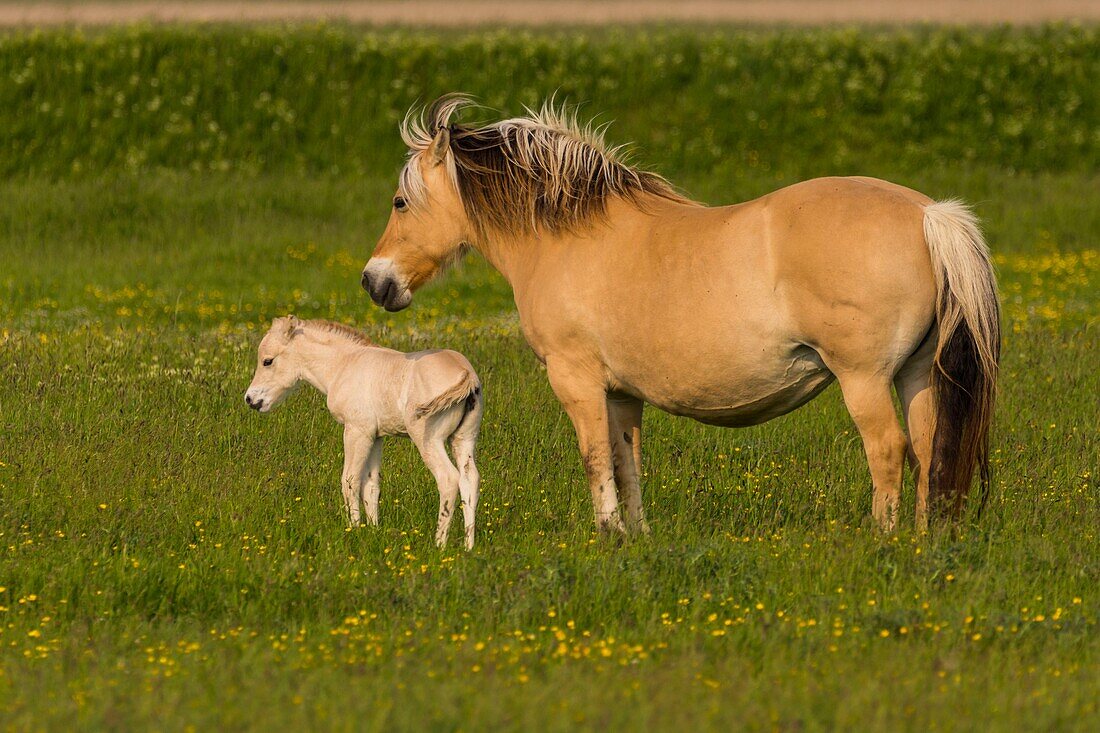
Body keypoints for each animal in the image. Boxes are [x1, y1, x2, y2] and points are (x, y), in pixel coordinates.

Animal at [245, 314, 486, 548]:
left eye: (267, 361)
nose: (250, 399)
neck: (344, 364)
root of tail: (465, 373)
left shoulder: (356, 431)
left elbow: (350, 480)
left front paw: (353, 529)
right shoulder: (376, 436)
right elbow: (371, 485)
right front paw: (373, 530)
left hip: (428, 440)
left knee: (448, 479)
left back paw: (439, 545)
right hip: (464, 439)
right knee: (470, 480)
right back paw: (469, 546)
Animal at [360, 95, 998, 530]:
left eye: (400, 201)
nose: (374, 281)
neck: (566, 235)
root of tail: (928, 215)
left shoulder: (576, 381)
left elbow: (595, 460)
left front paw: (606, 536)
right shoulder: (621, 393)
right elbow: (627, 463)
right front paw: (634, 539)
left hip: (863, 379)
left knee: (889, 450)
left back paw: (882, 540)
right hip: (916, 376)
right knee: (929, 450)